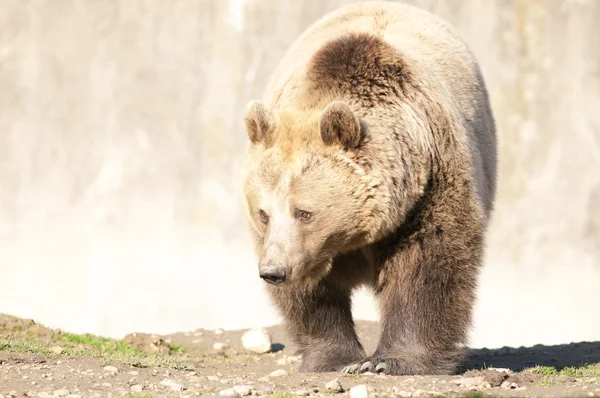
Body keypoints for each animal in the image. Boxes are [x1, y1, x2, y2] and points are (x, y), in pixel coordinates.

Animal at [239, 0, 496, 374]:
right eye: (263, 213)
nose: (273, 271)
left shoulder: (431, 184)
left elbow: (428, 263)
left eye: (304, 212)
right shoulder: (302, 248)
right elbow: (313, 294)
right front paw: (335, 357)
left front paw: (394, 361)